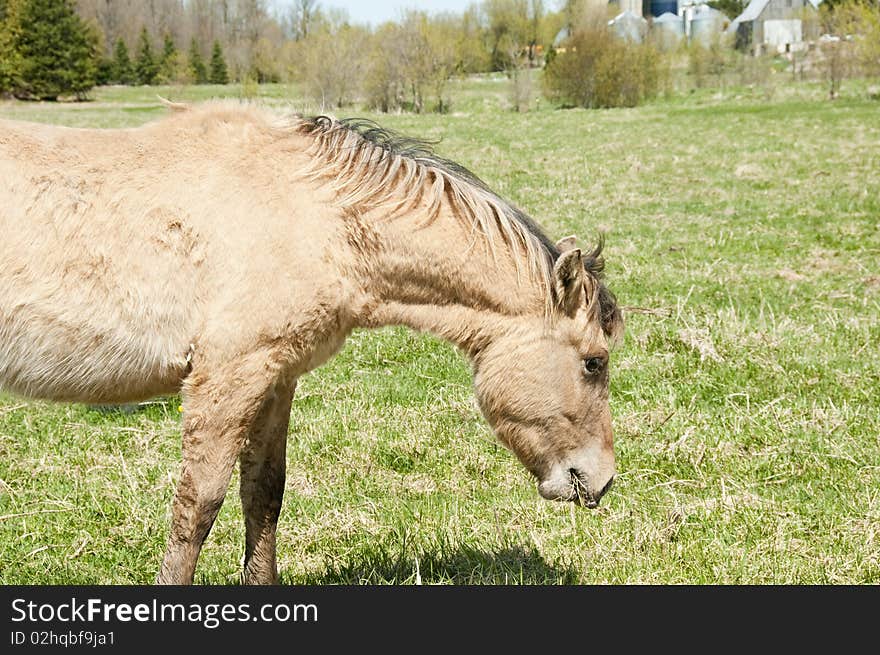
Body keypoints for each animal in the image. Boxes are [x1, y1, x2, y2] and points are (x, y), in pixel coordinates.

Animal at [0, 105, 624, 588]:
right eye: (594, 363)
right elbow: (198, 507)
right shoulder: (227, 377)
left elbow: (264, 495)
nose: (602, 481)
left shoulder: (276, 377)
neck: (316, 217)